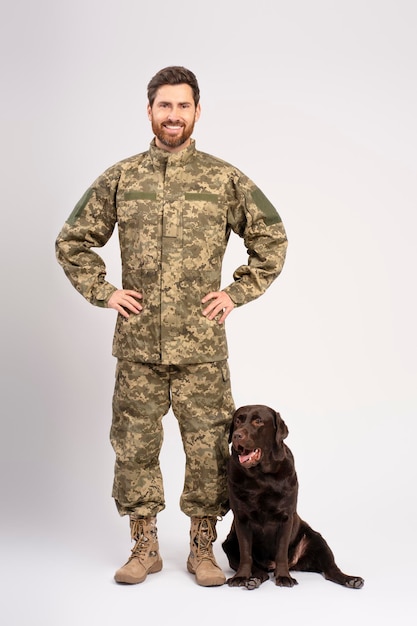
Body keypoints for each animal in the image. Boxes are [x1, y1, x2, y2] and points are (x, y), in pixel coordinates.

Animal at [223, 402, 362, 588]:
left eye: (258, 421)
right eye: (238, 421)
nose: (237, 435)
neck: (261, 476)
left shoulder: (285, 517)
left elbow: (281, 552)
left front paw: (283, 576)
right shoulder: (242, 519)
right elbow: (246, 553)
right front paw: (241, 577)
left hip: (317, 540)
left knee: (331, 570)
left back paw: (351, 580)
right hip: (229, 543)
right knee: (258, 569)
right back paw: (253, 579)